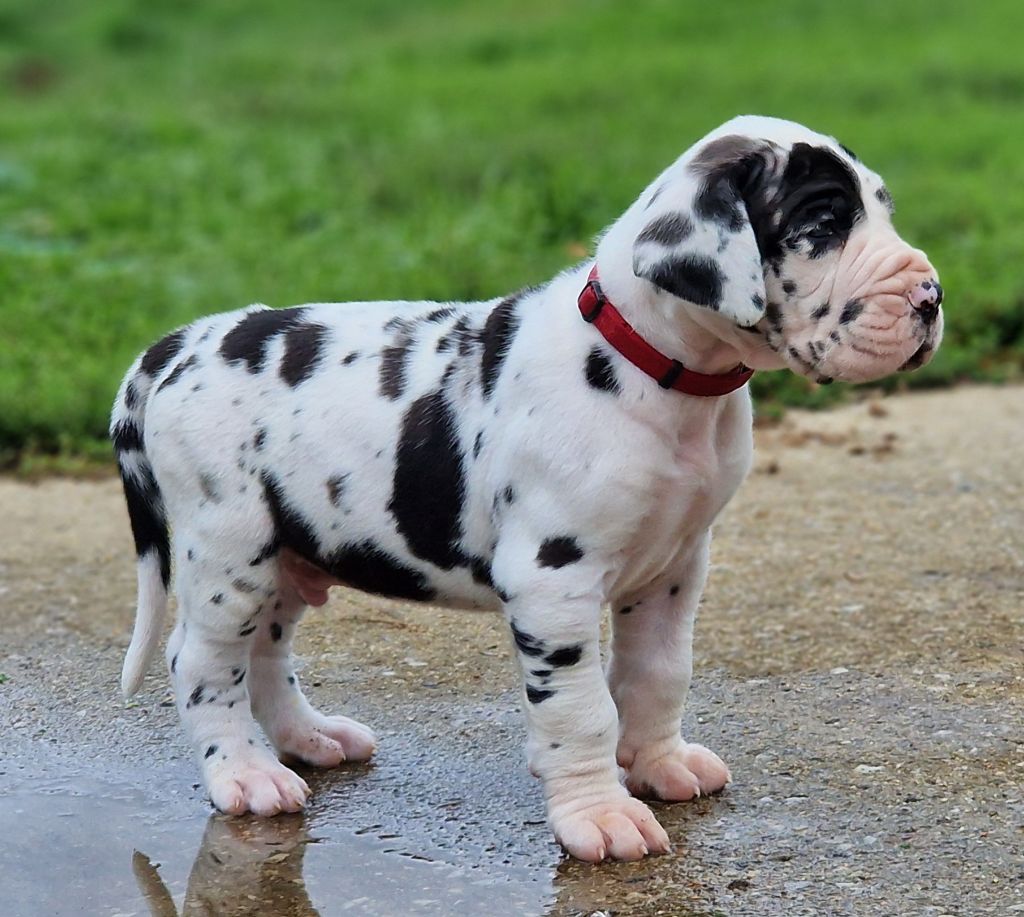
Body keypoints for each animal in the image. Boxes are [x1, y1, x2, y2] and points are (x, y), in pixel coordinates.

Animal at [111, 115, 942, 862]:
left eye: (881, 208)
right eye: (822, 224)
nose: (932, 297)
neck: (656, 367)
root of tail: (182, 341)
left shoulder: (677, 565)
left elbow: (657, 673)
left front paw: (660, 763)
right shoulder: (553, 582)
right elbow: (581, 709)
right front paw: (601, 815)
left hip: (288, 553)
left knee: (265, 651)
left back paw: (308, 737)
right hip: (230, 552)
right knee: (201, 661)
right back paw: (246, 774)